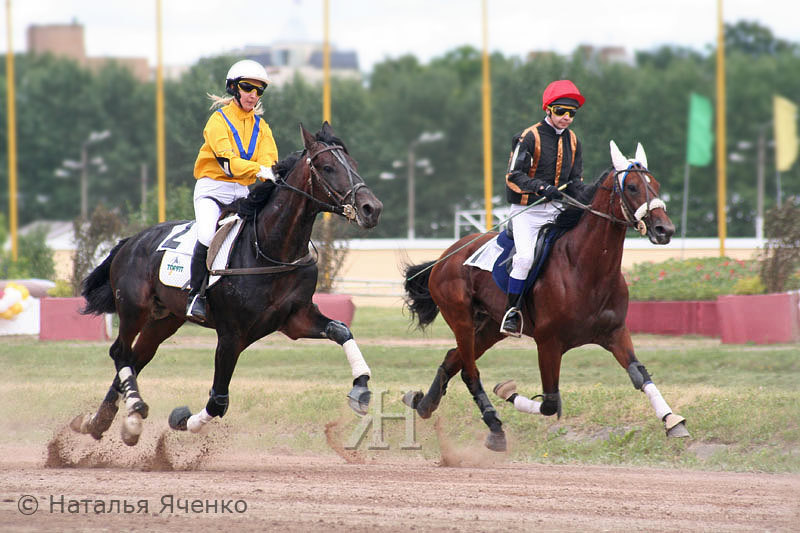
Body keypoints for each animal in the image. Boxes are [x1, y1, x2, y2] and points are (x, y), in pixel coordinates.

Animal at [71, 123, 382, 444]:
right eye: (327, 167)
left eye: (354, 164)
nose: (371, 208)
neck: (270, 250)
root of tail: (130, 241)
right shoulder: (231, 336)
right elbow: (218, 401)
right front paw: (182, 418)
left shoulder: (296, 319)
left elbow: (341, 330)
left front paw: (361, 386)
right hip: (134, 309)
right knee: (120, 353)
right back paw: (133, 408)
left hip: (164, 320)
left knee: (135, 357)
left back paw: (104, 422)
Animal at [404, 140, 692, 448]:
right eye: (633, 187)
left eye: (656, 185)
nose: (665, 229)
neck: (585, 269)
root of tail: (446, 256)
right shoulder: (548, 343)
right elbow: (550, 403)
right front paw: (506, 390)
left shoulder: (615, 333)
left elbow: (639, 374)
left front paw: (672, 420)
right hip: (462, 321)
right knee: (470, 372)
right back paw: (494, 427)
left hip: (490, 327)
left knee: (451, 359)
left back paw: (423, 404)